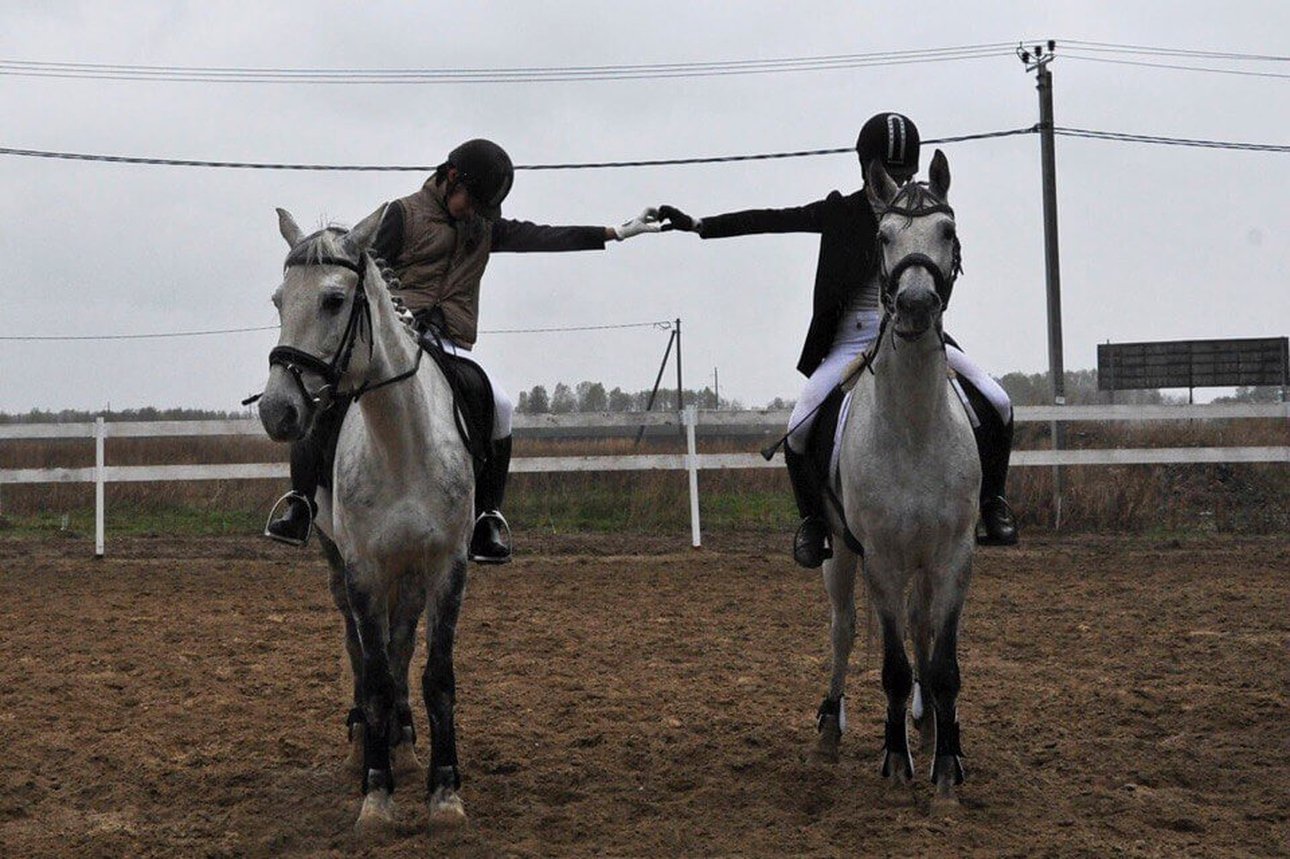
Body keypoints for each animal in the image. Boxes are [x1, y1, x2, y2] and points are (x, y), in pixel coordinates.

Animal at [255, 203, 474, 830]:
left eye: (333, 300)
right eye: (279, 300)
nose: (278, 410)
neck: (400, 442)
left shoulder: (446, 566)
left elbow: (435, 675)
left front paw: (444, 793)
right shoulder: (362, 570)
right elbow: (372, 673)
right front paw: (376, 795)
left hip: (411, 569)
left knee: (401, 645)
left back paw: (402, 740)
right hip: (340, 563)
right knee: (358, 648)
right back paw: (366, 745)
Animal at [810, 150, 980, 804]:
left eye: (947, 231)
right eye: (883, 237)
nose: (913, 306)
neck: (911, 426)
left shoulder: (953, 556)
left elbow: (943, 664)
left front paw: (947, 764)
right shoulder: (880, 557)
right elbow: (892, 665)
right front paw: (895, 761)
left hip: (923, 562)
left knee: (921, 628)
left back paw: (928, 721)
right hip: (840, 553)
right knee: (843, 629)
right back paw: (830, 727)